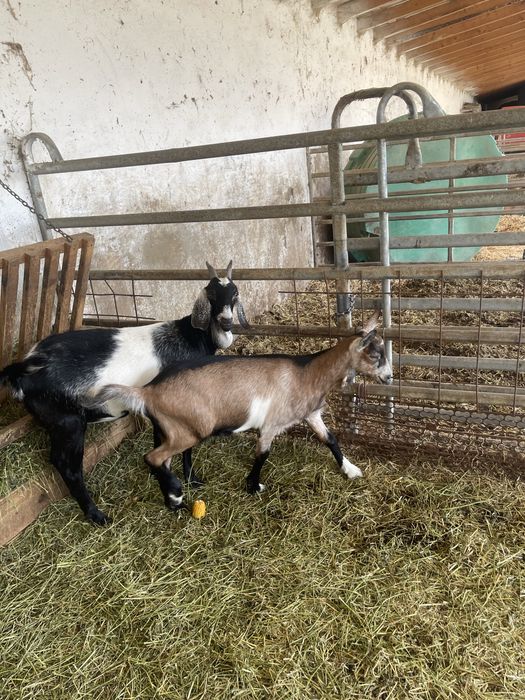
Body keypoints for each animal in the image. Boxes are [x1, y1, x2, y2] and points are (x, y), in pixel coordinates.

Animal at [0, 261, 248, 524]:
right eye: (211, 295)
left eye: (234, 293)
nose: (226, 322)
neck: (190, 337)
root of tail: (25, 366)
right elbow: (184, 448)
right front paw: (186, 483)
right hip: (69, 422)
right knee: (67, 466)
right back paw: (96, 515)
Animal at [91, 314, 392, 509]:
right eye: (375, 355)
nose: (389, 378)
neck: (307, 373)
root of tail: (147, 392)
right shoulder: (272, 424)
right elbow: (263, 454)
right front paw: (254, 485)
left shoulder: (311, 414)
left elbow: (330, 439)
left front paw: (350, 470)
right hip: (185, 430)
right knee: (153, 457)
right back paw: (175, 495)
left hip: (176, 429)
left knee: (163, 459)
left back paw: (175, 495)